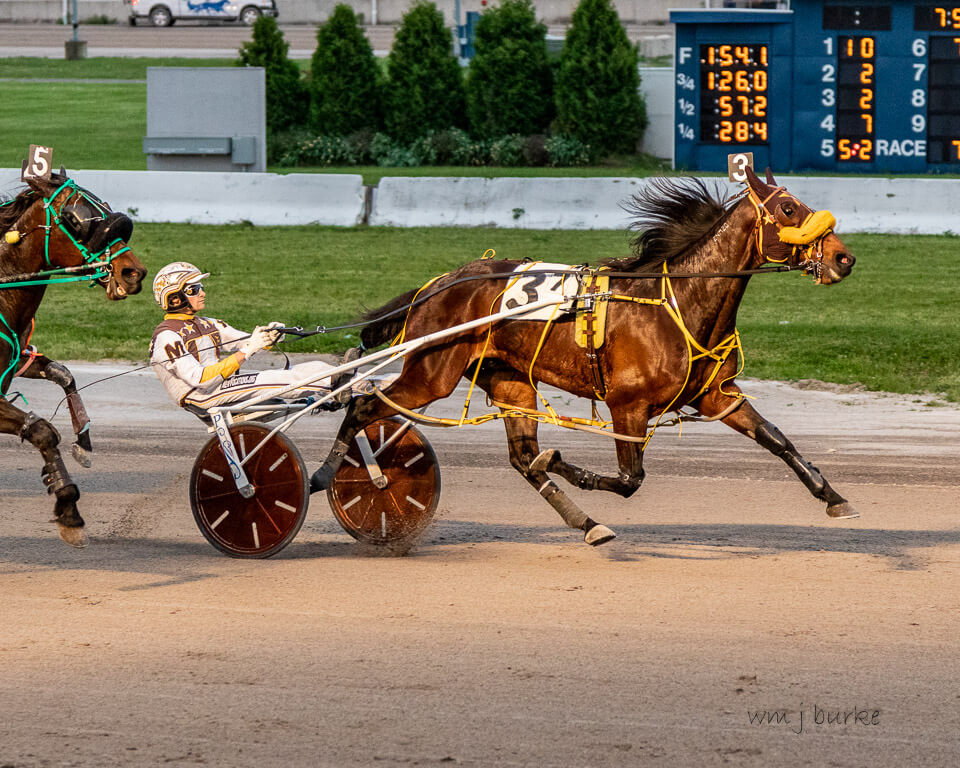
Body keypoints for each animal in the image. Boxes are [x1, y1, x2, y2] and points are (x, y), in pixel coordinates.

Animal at [0, 172, 147, 548]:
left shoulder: (16, 363)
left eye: (105, 208)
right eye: (76, 218)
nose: (133, 272)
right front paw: (69, 509)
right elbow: (42, 430)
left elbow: (64, 374)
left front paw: (83, 441)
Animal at [314, 170, 856, 544]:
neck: (680, 303)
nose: (844, 258)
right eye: (788, 208)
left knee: (522, 457)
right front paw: (570, 464)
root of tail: (437, 284)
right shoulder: (627, 404)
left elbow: (778, 440)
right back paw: (329, 474)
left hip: (511, 379)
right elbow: (630, 479)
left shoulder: (716, 395)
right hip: (432, 372)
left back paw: (586, 522)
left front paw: (834, 497)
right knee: (362, 406)